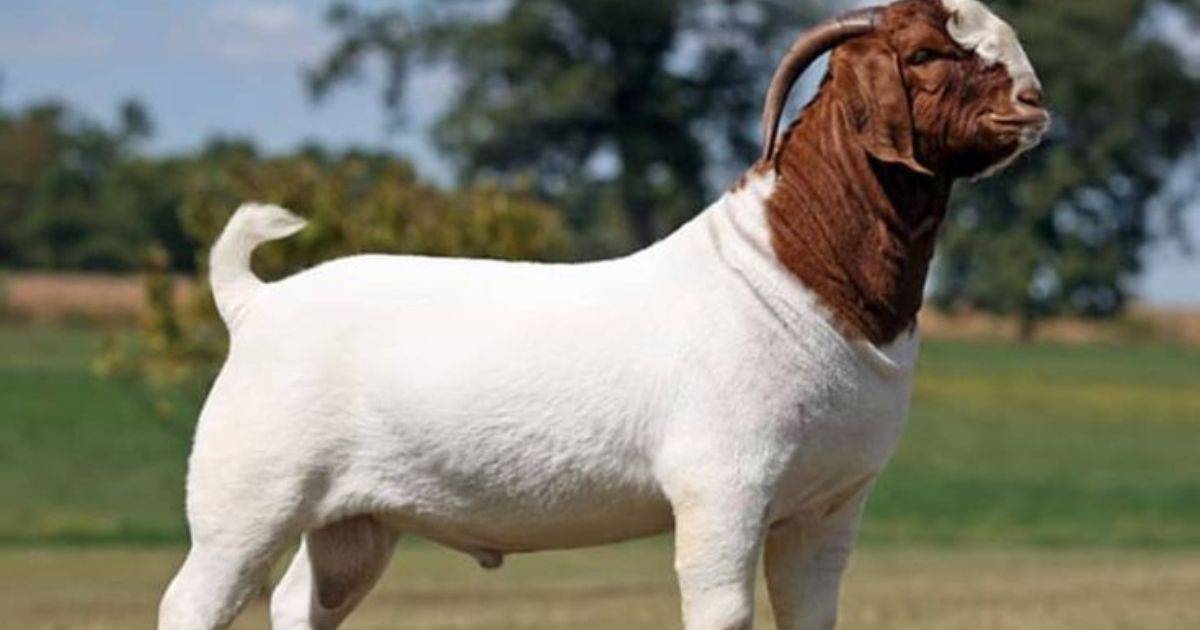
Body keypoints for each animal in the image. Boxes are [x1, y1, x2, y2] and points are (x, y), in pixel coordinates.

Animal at [159, 1, 1048, 628]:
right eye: (926, 53)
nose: (1034, 102)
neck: (787, 271)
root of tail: (256, 303)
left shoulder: (830, 505)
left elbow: (810, 610)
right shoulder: (724, 490)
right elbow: (721, 608)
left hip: (358, 519)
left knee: (304, 599)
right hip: (248, 496)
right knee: (194, 598)